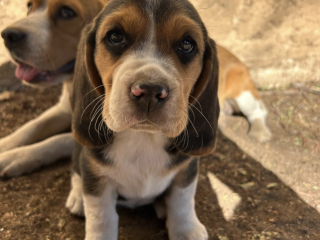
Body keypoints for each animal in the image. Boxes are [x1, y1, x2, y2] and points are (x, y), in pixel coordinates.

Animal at [0, 0, 107, 176]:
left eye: (67, 12)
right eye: (29, 6)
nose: (8, 36)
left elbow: (57, 140)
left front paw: (16, 156)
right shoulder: (63, 109)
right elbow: (33, 125)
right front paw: (5, 144)